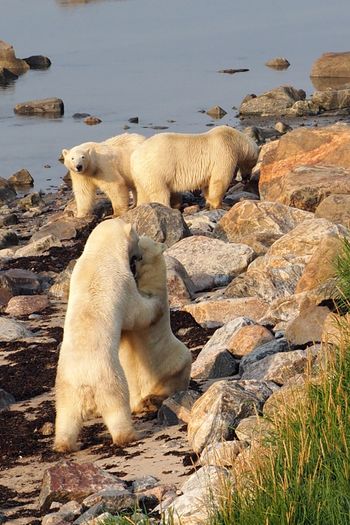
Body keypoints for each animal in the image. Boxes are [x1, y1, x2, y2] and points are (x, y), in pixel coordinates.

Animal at [53, 217, 163, 450]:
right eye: (137, 237)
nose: (138, 254)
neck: (99, 253)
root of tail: (85, 383)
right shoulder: (123, 281)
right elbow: (137, 313)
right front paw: (156, 305)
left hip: (66, 389)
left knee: (66, 416)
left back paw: (64, 444)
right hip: (109, 379)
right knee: (117, 407)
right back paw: (128, 436)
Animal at [119, 236, 191, 414]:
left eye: (139, 256)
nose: (130, 261)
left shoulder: (155, 296)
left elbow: (140, 314)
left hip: (173, 364)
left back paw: (151, 401)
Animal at [130, 125, 258, 209]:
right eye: (253, 164)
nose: (246, 178)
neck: (233, 139)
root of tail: (134, 156)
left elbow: (208, 184)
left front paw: (209, 201)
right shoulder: (224, 151)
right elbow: (220, 179)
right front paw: (220, 204)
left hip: (142, 175)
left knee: (143, 192)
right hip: (155, 170)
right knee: (160, 192)